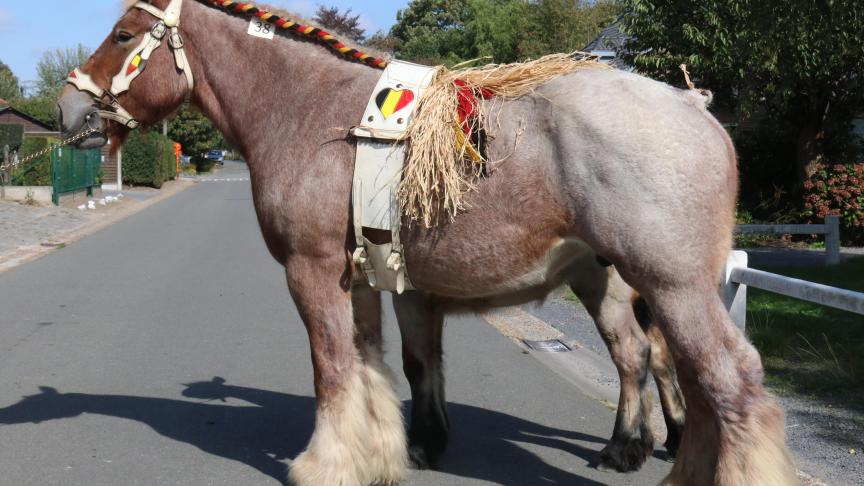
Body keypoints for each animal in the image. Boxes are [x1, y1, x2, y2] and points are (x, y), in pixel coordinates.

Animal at [57, 0, 800, 486]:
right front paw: (390, 453)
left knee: (723, 381)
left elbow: (332, 369)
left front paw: (323, 464)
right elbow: (383, 368)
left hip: (671, 285)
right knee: (686, 378)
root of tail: (696, 109)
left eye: (123, 34)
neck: (311, 113)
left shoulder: (311, 271)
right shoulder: (368, 280)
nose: (68, 111)